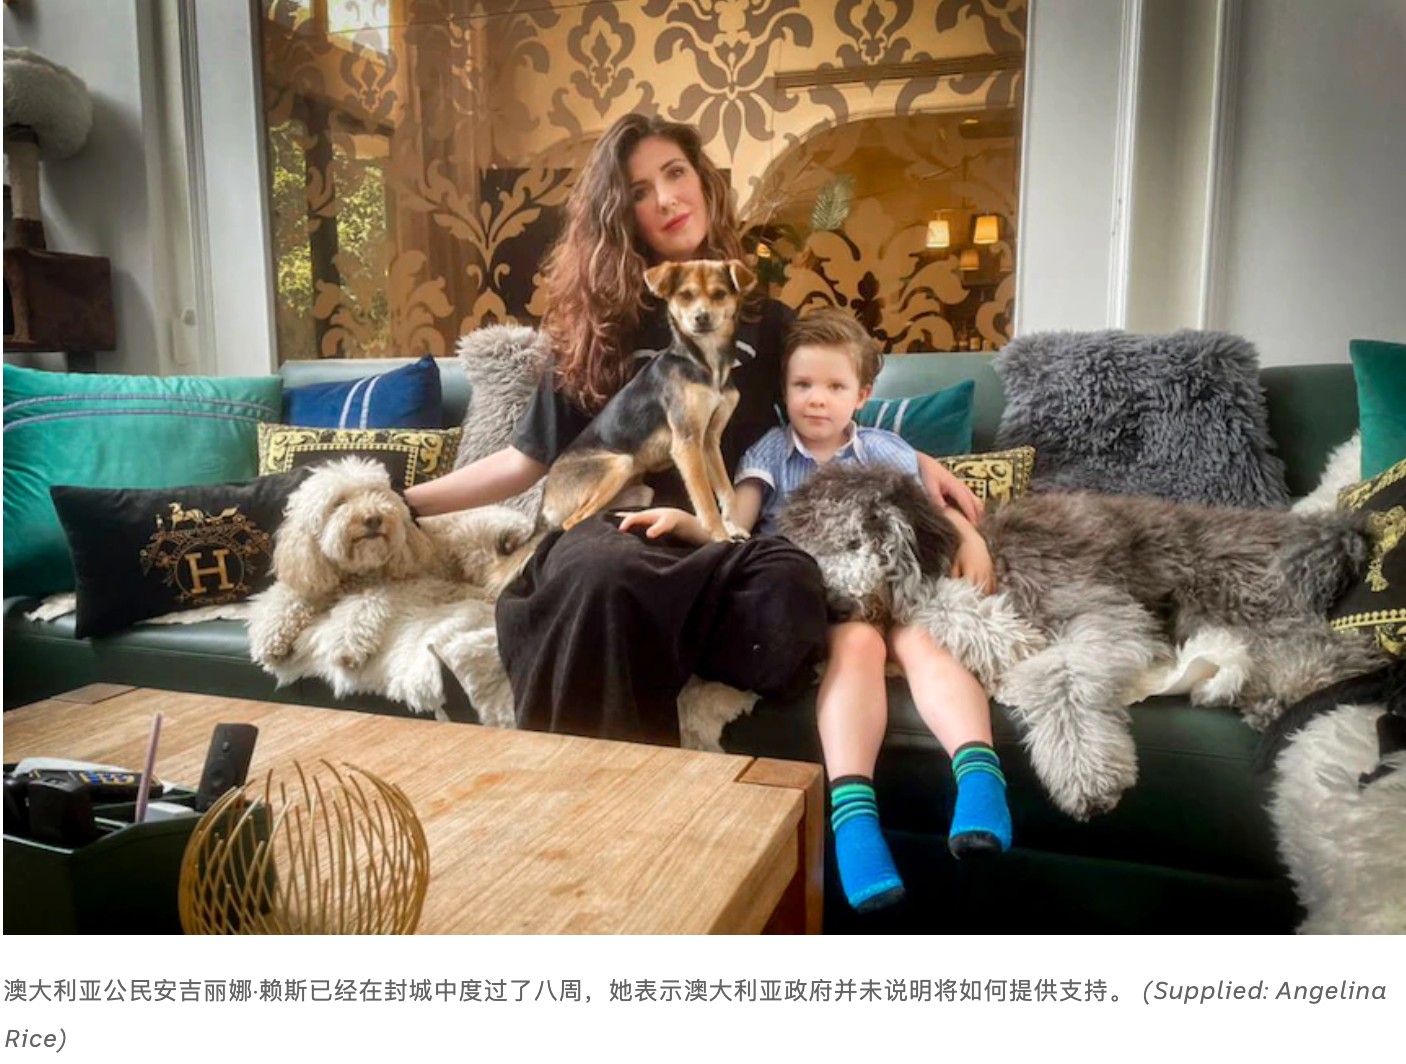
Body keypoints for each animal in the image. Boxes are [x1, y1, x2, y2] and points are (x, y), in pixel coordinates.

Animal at [541, 258, 755, 541]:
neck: (707, 364)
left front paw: (734, 526)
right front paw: (720, 537)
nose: (701, 317)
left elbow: (726, 491)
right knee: (572, 522)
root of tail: (546, 500)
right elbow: (706, 501)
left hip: (639, 491)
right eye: (685, 295)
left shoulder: (709, 441)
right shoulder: (687, 444)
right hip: (620, 463)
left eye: (720, 294)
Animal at [778, 464, 1387, 818]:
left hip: (1241, 596)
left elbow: (1058, 673)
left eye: (854, 540)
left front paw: (1084, 771)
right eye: (804, 550)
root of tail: (1327, 531)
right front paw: (1000, 638)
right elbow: (944, 611)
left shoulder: (1099, 610)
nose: (833, 609)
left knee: (1344, 653)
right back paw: (1263, 700)